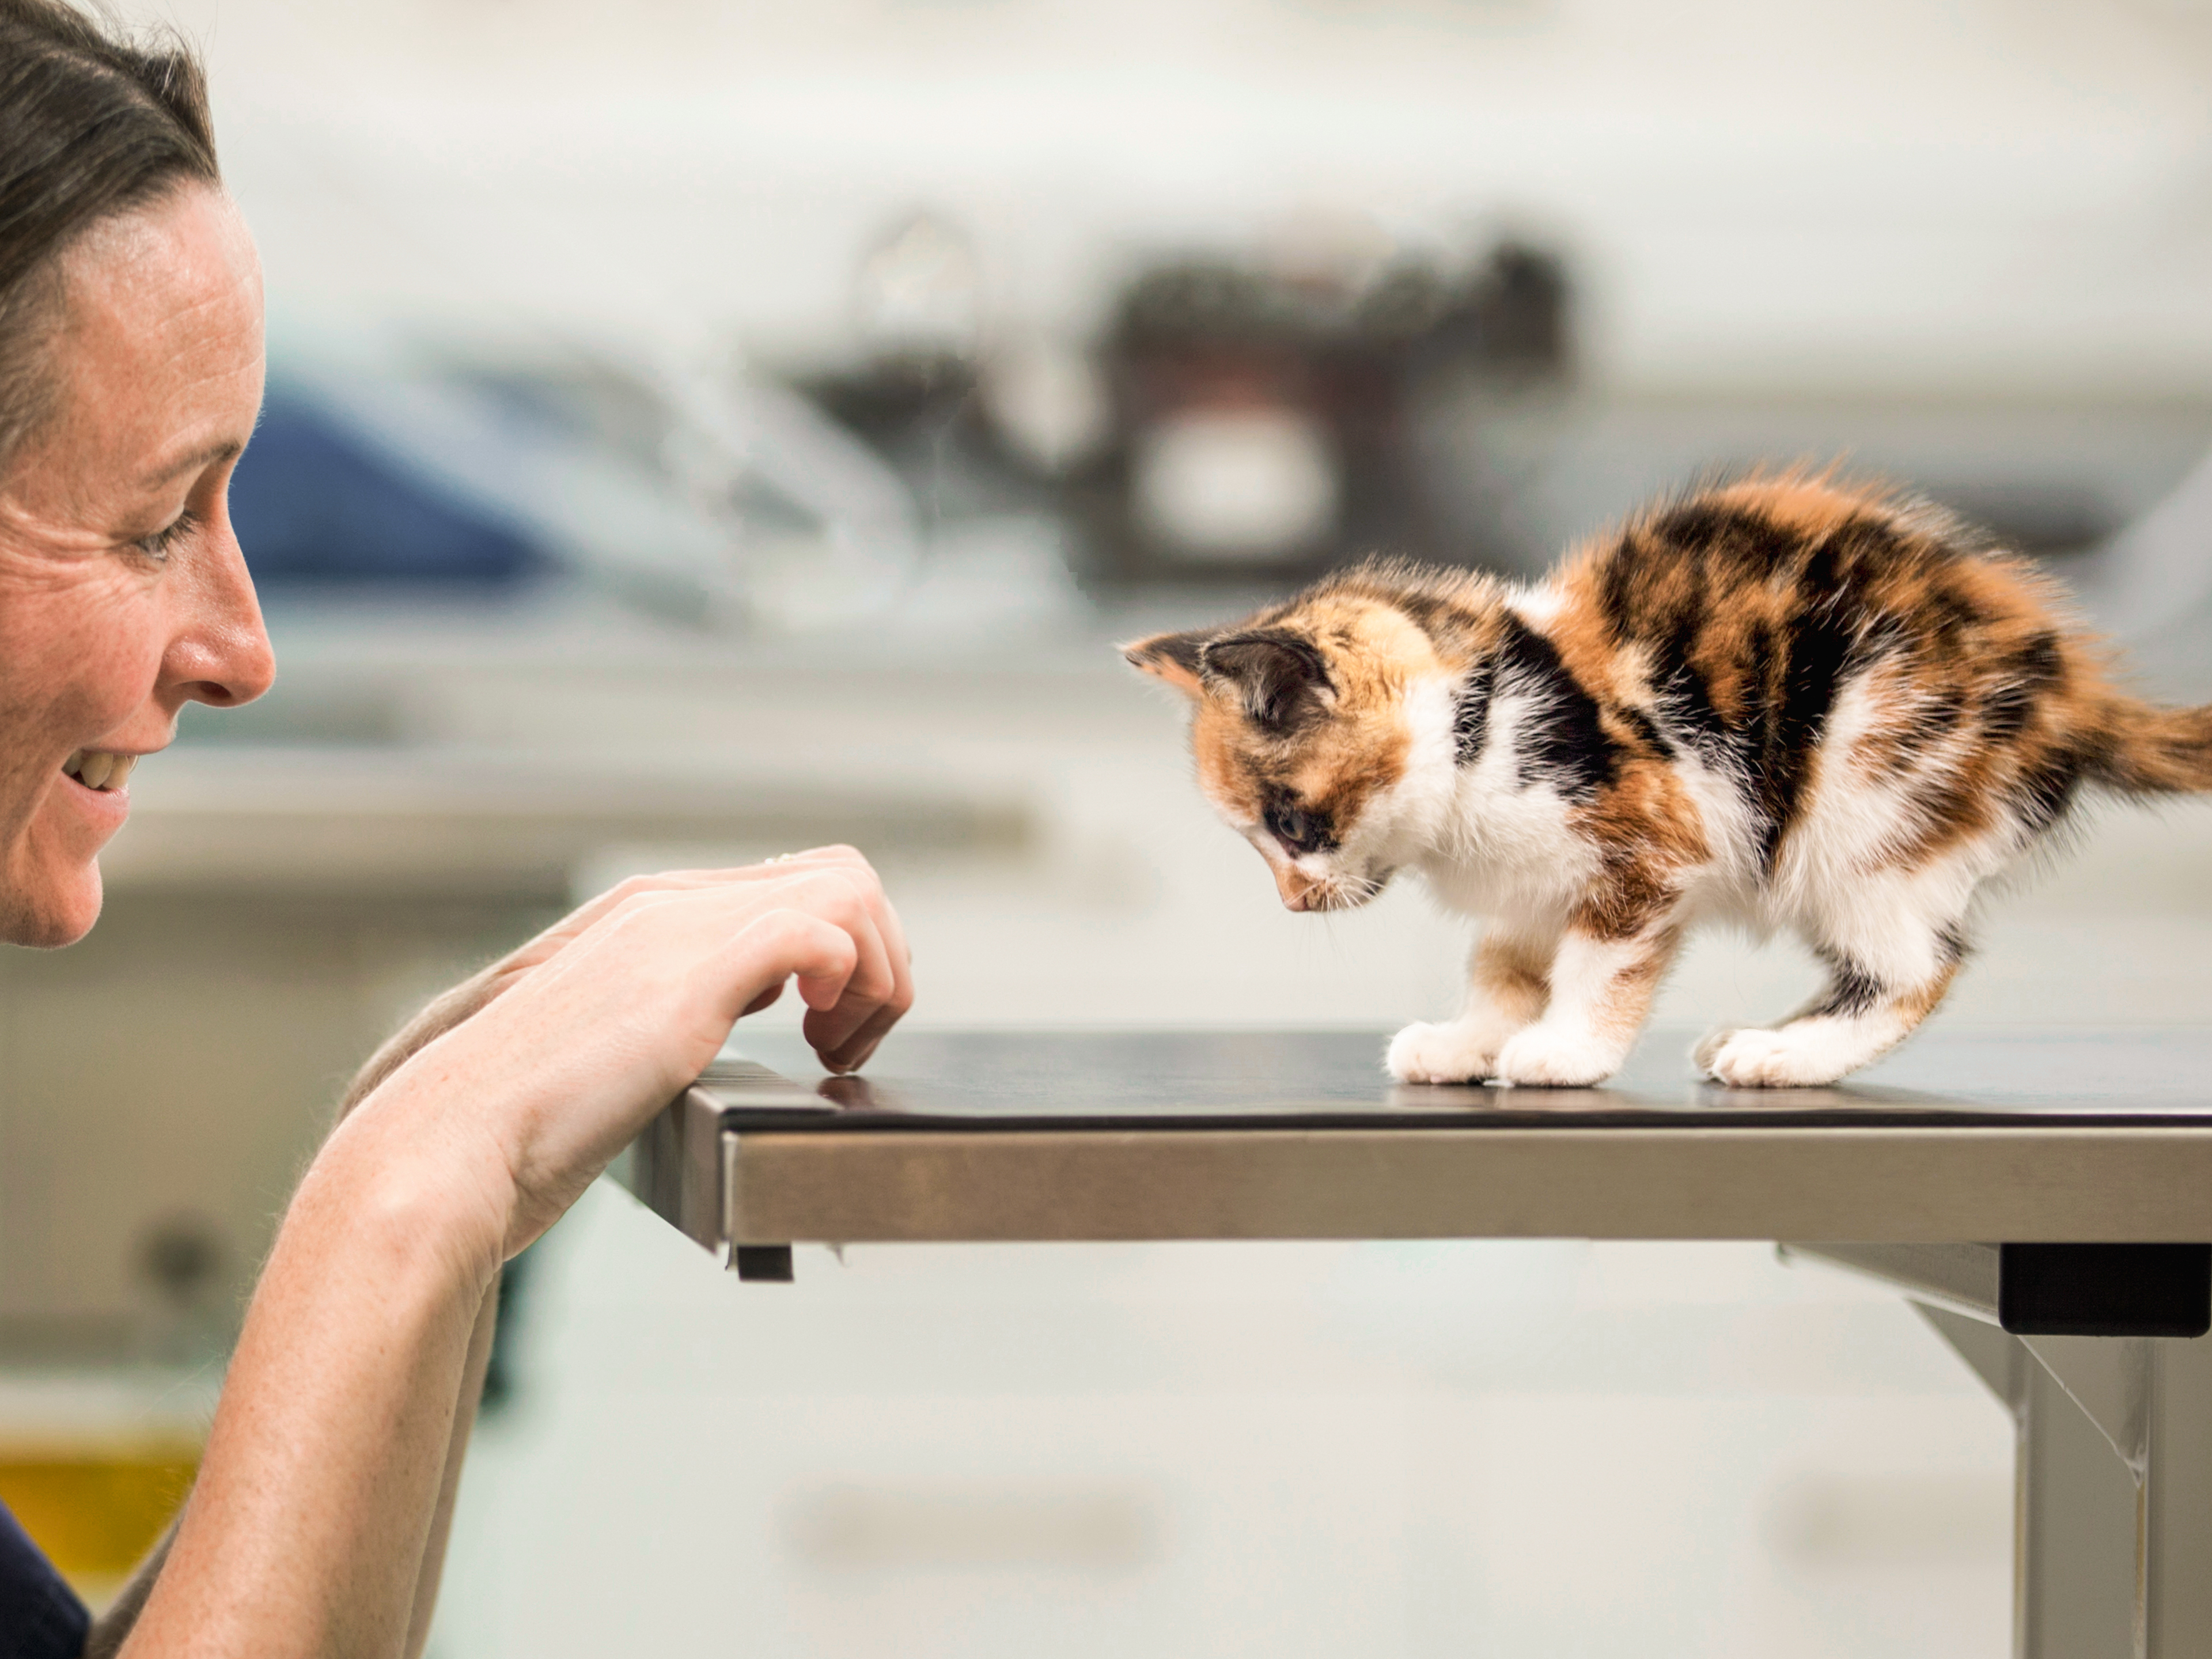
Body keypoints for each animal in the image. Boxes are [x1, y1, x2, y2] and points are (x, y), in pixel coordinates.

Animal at [1123, 473, 2212, 1092]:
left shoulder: (1650, 842)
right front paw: (1470, 1041)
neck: (1485, 721)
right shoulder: (1527, 883)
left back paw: (1785, 1057)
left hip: (1866, 804)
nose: (1296, 903)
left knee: (1918, 967)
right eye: (1259, 840)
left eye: (1290, 822)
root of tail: (2072, 690)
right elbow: (1506, 966)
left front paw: (1566, 1054)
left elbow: (1596, 965)